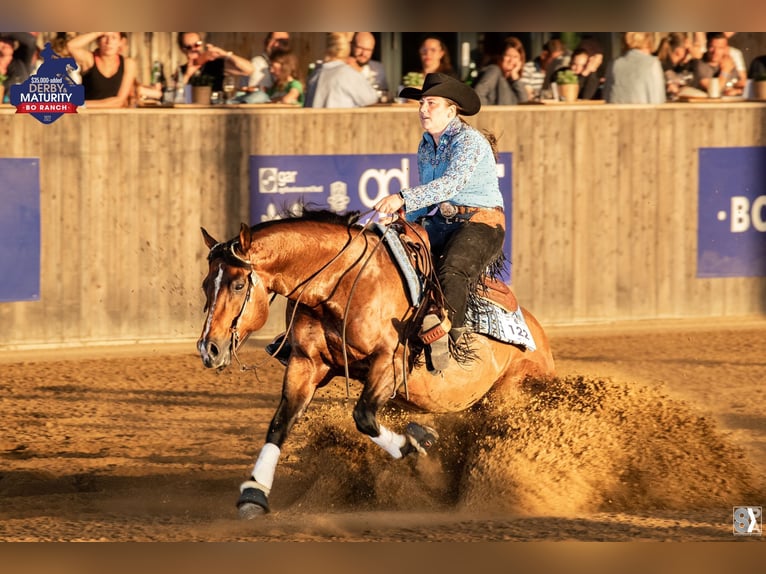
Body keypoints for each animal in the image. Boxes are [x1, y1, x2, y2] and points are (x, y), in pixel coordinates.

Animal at [198, 209, 560, 520]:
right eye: (205, 285)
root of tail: (539, 339)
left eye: (238, 284)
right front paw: (254, 493)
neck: (346, 283)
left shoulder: (390, 362)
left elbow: (364, 417)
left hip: (509, 394)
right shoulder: (306, 362)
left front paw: (416, 442)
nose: (209, 348)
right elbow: (281, 422)